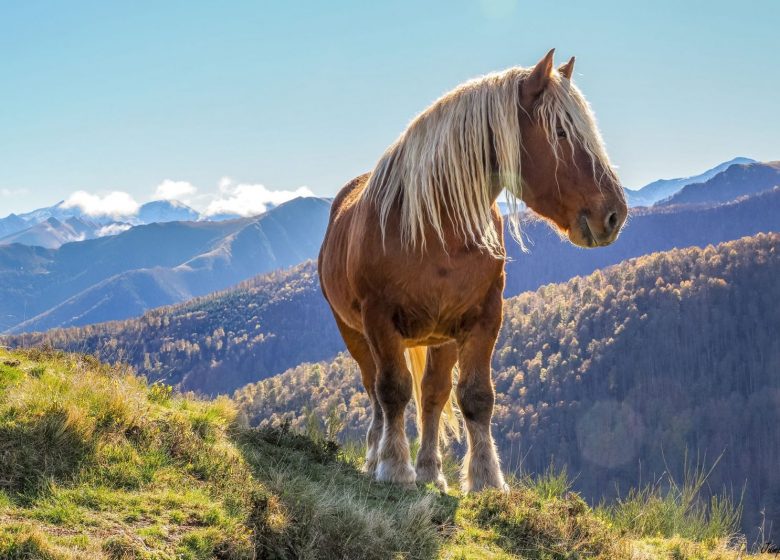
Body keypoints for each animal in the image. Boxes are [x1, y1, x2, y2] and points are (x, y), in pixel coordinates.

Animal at [318, 49, 627, 492]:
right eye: (561, 133)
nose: (614, 215)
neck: (432, 228)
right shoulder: (378, 319)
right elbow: (392, 390)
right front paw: (393, 467)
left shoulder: (484, 317)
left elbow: (475, 397)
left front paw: (485, 478)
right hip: (354, 332)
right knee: (374, 389)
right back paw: (377, 456)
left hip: (440, 335)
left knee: (433, 393)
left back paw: (431, 470)